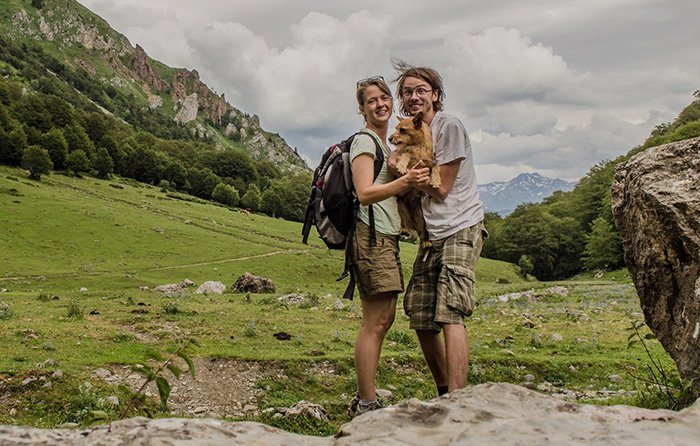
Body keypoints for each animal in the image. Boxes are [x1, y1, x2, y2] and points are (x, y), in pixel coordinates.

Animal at [392, 111, 440, 247]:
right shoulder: (407, 153)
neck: (418, 147)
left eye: (402, 130)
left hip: (421, 216)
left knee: (422, 232)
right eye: (396, 128)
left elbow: (436, 167)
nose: (389, 138)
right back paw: (404, 229)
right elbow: (405, 154)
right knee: (403, 222)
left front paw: (436, 181)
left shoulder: (429, 163)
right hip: (400, 207)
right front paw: (401, 166)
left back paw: (426, 241)